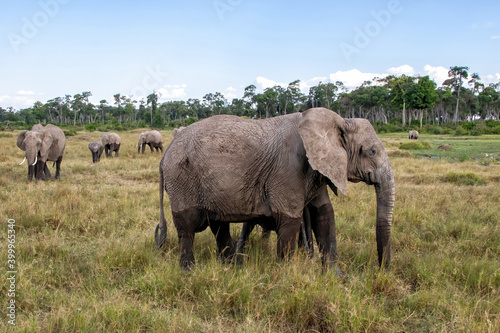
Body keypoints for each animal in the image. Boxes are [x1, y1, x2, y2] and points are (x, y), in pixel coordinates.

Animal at [156, 107, 394, 272]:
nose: (381, 271)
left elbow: (325, 214)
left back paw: (234, 268)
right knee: (187, 226)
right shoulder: (288, 168)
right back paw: (189, 271)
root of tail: (166, 152)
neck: (338, 122)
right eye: (371, 151)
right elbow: (289, 218)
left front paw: (334, 276)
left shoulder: (316, 168)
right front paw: (286, 276)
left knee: (218, 225)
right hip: (181, 179)